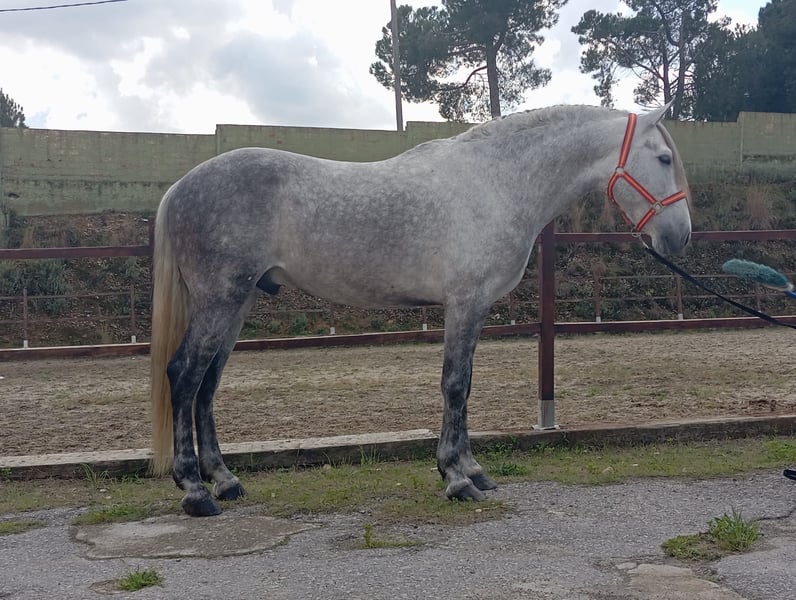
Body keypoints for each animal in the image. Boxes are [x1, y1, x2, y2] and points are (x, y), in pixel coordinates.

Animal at [150, 103, 692, 517]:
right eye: (664, 158)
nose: (680, 236)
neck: (496, 182)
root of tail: (178, 188)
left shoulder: (473, 308)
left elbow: (466, 386)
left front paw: (472, 470)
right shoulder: (464, 304)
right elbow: (453, 386)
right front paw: (457, 479)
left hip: (236, 303)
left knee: (207, 385)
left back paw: (225, 481)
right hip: (221, 300)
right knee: (184, 375)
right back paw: (196, 492)